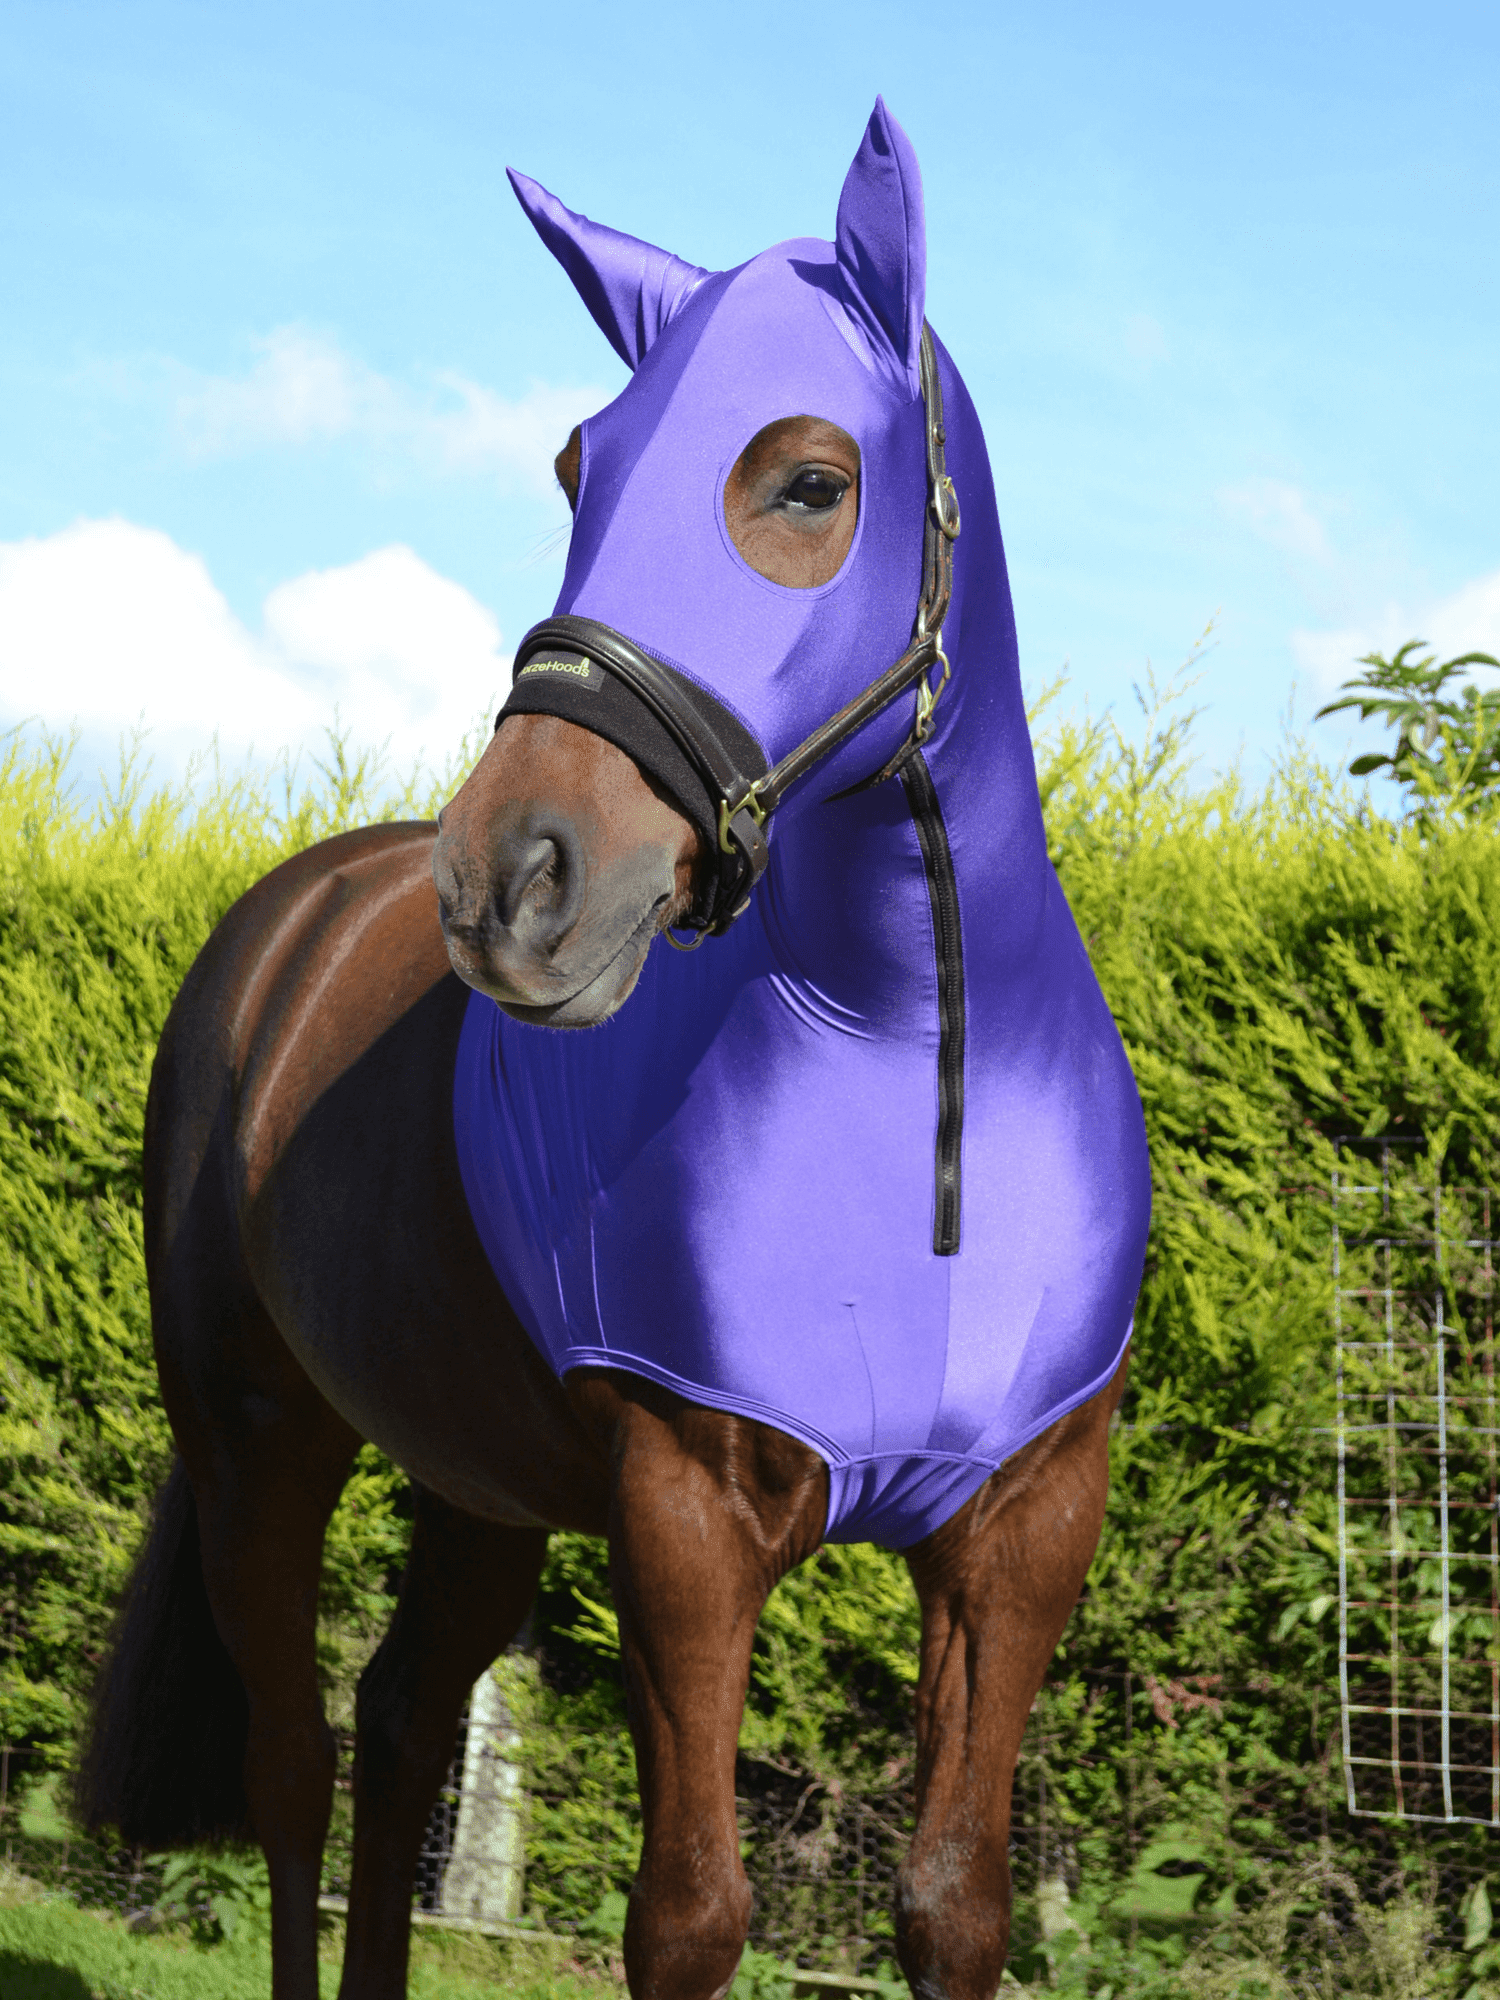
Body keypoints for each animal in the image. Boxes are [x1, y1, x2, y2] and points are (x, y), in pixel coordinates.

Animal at [79, 105, 1152, 2000]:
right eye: (585, 466)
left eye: (806, 480)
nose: (511, 882)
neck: (922, 1069)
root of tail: (293, 920)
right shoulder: (685, 1517)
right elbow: (689, 1918)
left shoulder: (1018, 1532)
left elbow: (954, 1908)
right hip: (260, 1442)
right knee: (297, 1764)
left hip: (475, 1481)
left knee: (404, 1723)